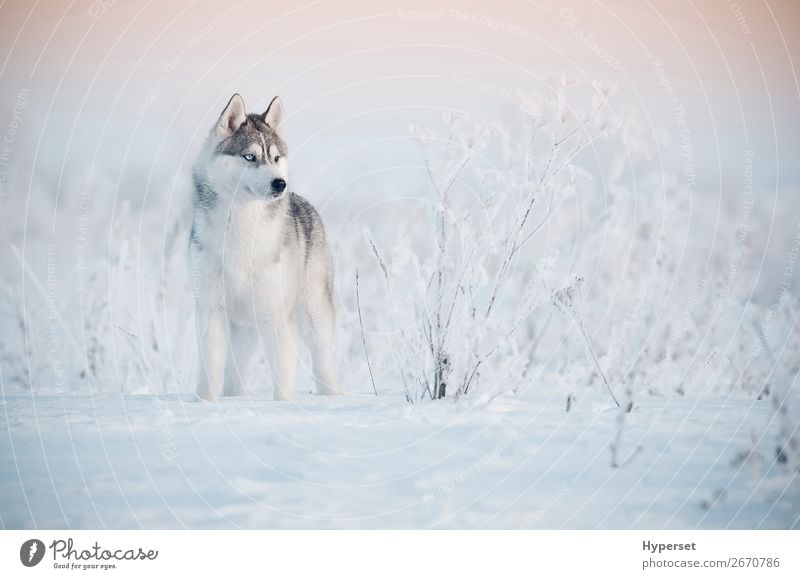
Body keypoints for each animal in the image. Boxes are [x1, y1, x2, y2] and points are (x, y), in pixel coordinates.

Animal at [191, 95, 338, 404]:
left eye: (276, 158)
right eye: (250, 157)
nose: (280, 183)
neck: (241, 226)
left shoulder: (275, 314)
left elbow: (282, 374)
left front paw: (283, 406)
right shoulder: (211, 309)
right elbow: (211, 367)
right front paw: (206, 404)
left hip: (314, 318)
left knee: (325, 366)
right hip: (243, 331)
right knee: (234, 377)